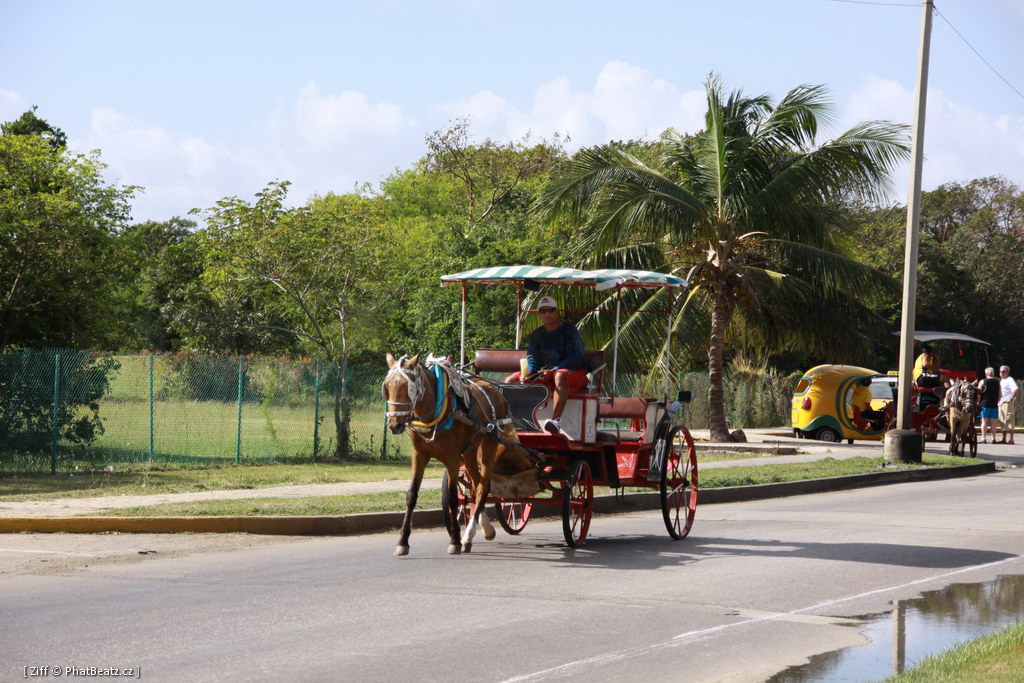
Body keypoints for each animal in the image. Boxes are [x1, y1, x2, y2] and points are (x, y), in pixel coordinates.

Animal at [385, 352, 540, 557]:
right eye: (387, 386)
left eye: (406, 386)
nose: (395, 424)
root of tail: (496, 390)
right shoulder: (419, 455)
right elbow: (411, 495)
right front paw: (403, 542)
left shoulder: (452, 457)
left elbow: (452, 498)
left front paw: (455, 540)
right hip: (469, 452)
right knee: (478, 484)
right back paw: (483, 530)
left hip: (489, 445)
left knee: (483, 487)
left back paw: (468, 535)